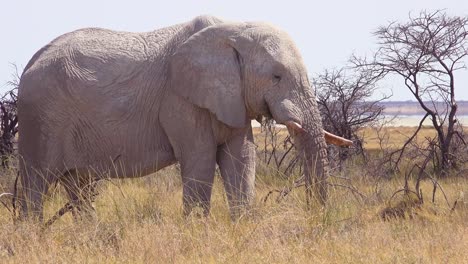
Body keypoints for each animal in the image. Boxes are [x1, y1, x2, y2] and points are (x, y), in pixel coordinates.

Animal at [17, 14, 352, 221]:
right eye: (276, 76)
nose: (316, 219)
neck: (232, 30)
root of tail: (30, 62)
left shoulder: (231, 99)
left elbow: (242, 158)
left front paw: (242, 228)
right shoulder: (179, 100)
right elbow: (199, 159)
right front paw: (198, 232)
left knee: (79, 187)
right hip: (40, 119)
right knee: (36, 185)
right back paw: (33, 235)